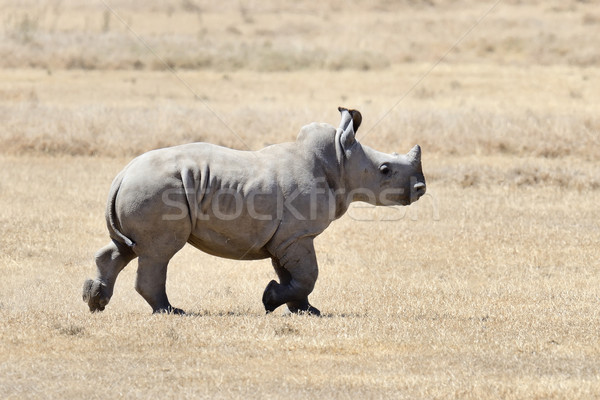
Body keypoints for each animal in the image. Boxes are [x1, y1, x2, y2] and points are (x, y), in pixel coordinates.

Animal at [83, 107, 426, 316]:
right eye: (385, 170)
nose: (421, 188)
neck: (341, 162)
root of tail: (122, 175)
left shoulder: (286, 237)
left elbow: (294, 275)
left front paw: (305, 311)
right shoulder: (296, 236)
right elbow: (308, 274)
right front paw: (270, 300)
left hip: (144, 187)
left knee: (128, 248)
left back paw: (94, 301)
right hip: (156, 189)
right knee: (159, 252)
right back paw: (171, 311)